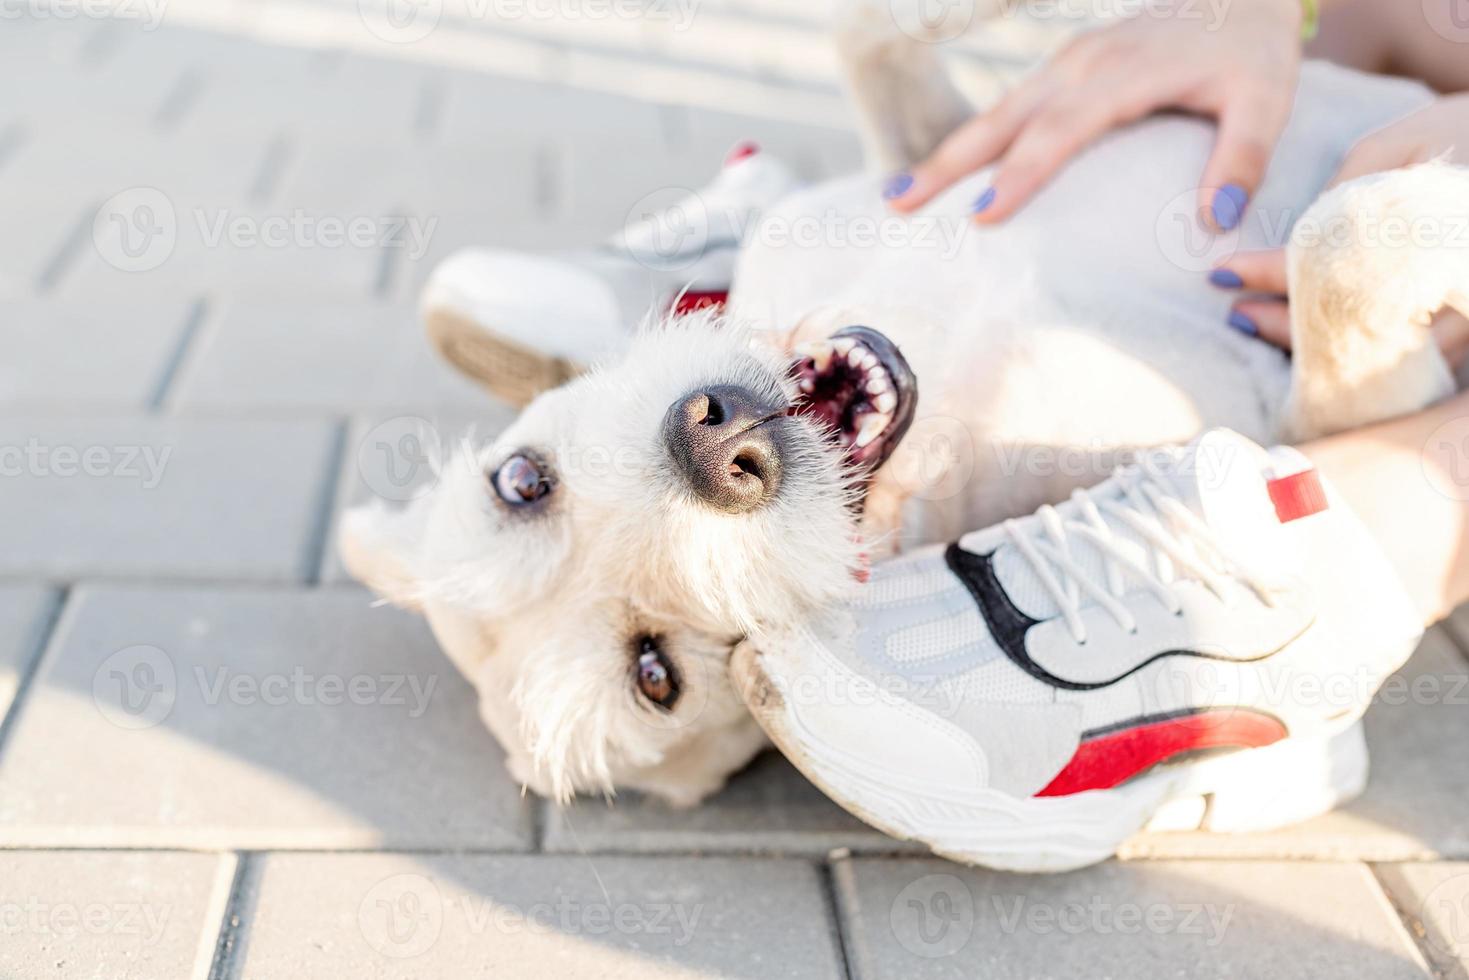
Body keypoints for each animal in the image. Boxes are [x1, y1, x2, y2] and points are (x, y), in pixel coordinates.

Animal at [336, 1, 1469, 805]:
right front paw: (1434, 195)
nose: (716, 448)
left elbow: (866, 38)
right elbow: (1336, 248)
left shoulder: (938, 152)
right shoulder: (1325, 408)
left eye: (520, 482)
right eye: (655, 674)